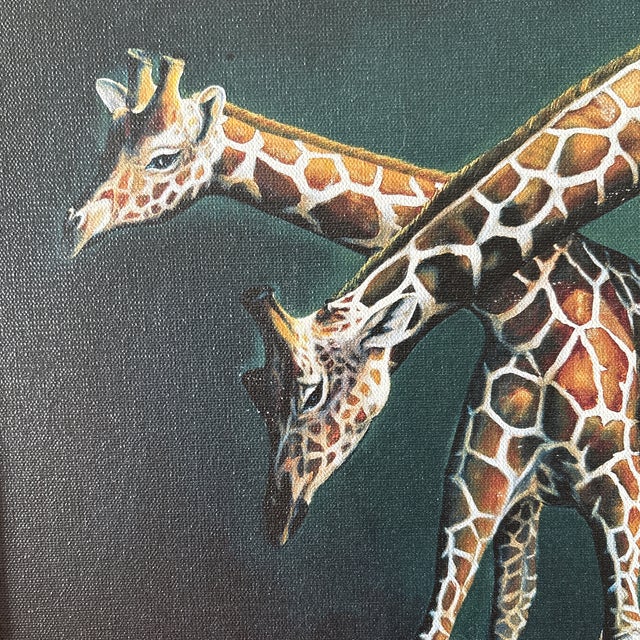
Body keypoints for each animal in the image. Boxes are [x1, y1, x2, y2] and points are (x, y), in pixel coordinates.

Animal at [242, 45, 640, 639]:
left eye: (312, 391)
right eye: (254, 394)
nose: (276, 515)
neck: (530, 316)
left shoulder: (624, 498)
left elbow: (624, 623)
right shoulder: (486, 499)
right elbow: (467, 616)